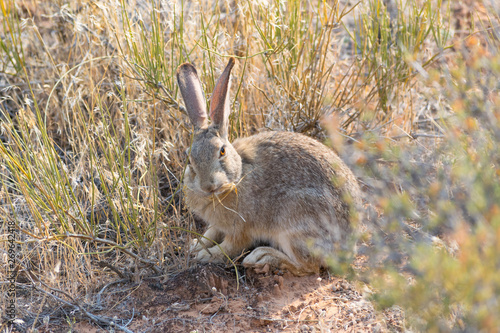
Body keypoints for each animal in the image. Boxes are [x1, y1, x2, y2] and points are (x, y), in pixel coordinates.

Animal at [178, 57, 362, 274]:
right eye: (189, 159)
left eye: (222, 151)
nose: (208, 186)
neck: (238, 175)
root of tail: (348, 247)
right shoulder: (217, 226)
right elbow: (211, 233)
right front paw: (196, 245)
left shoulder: (241, 228)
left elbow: (230, 247)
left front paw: (206, 255)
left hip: (294, 223)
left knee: (307, 266)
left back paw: (262, 256)